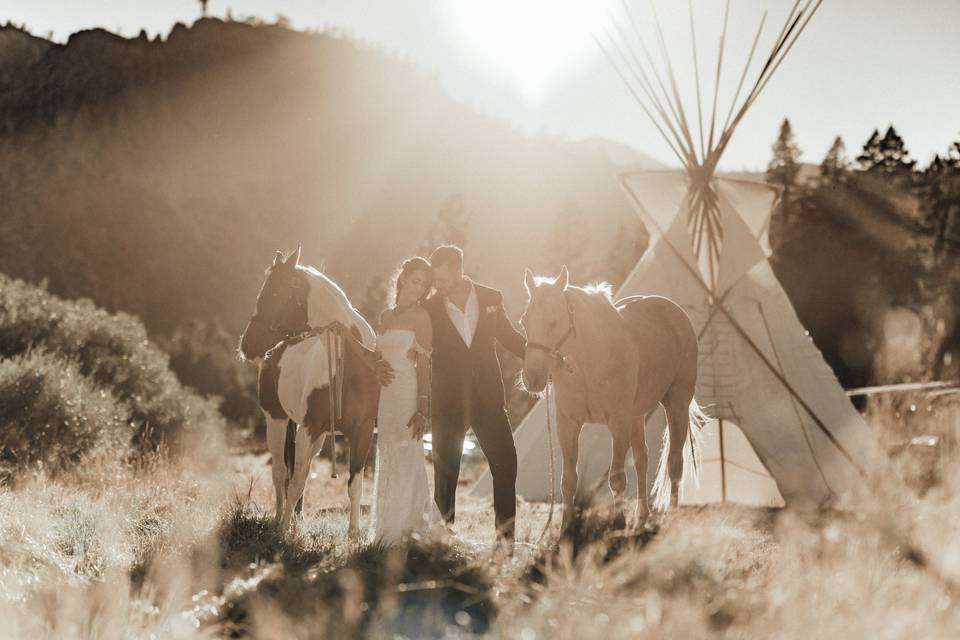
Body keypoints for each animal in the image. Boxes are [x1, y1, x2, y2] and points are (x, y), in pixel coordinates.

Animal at [236, 248, 378, 536]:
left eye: (275, 293)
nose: (247, 345)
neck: (349, 363)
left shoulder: (362, 431)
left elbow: (354, 486)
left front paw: (354, 535)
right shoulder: (308, 428)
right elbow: (295, 481)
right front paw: (283, 532)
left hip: (316, 437)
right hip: (277, 421)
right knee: (281, 472)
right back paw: (279, 519)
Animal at [516, 264, 704, 528]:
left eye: (554, 320)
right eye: (525, 321)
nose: (532, 378)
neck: (589, 360)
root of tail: (677, 314)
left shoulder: (618, 422)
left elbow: (616, 478)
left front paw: (618, 524)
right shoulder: (568, 424)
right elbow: (568, 480)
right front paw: (565, 529)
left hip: (676, 404)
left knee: (675, 465)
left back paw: (671, 521)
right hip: (636, 416)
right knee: (642, 460)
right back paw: (641, 519)